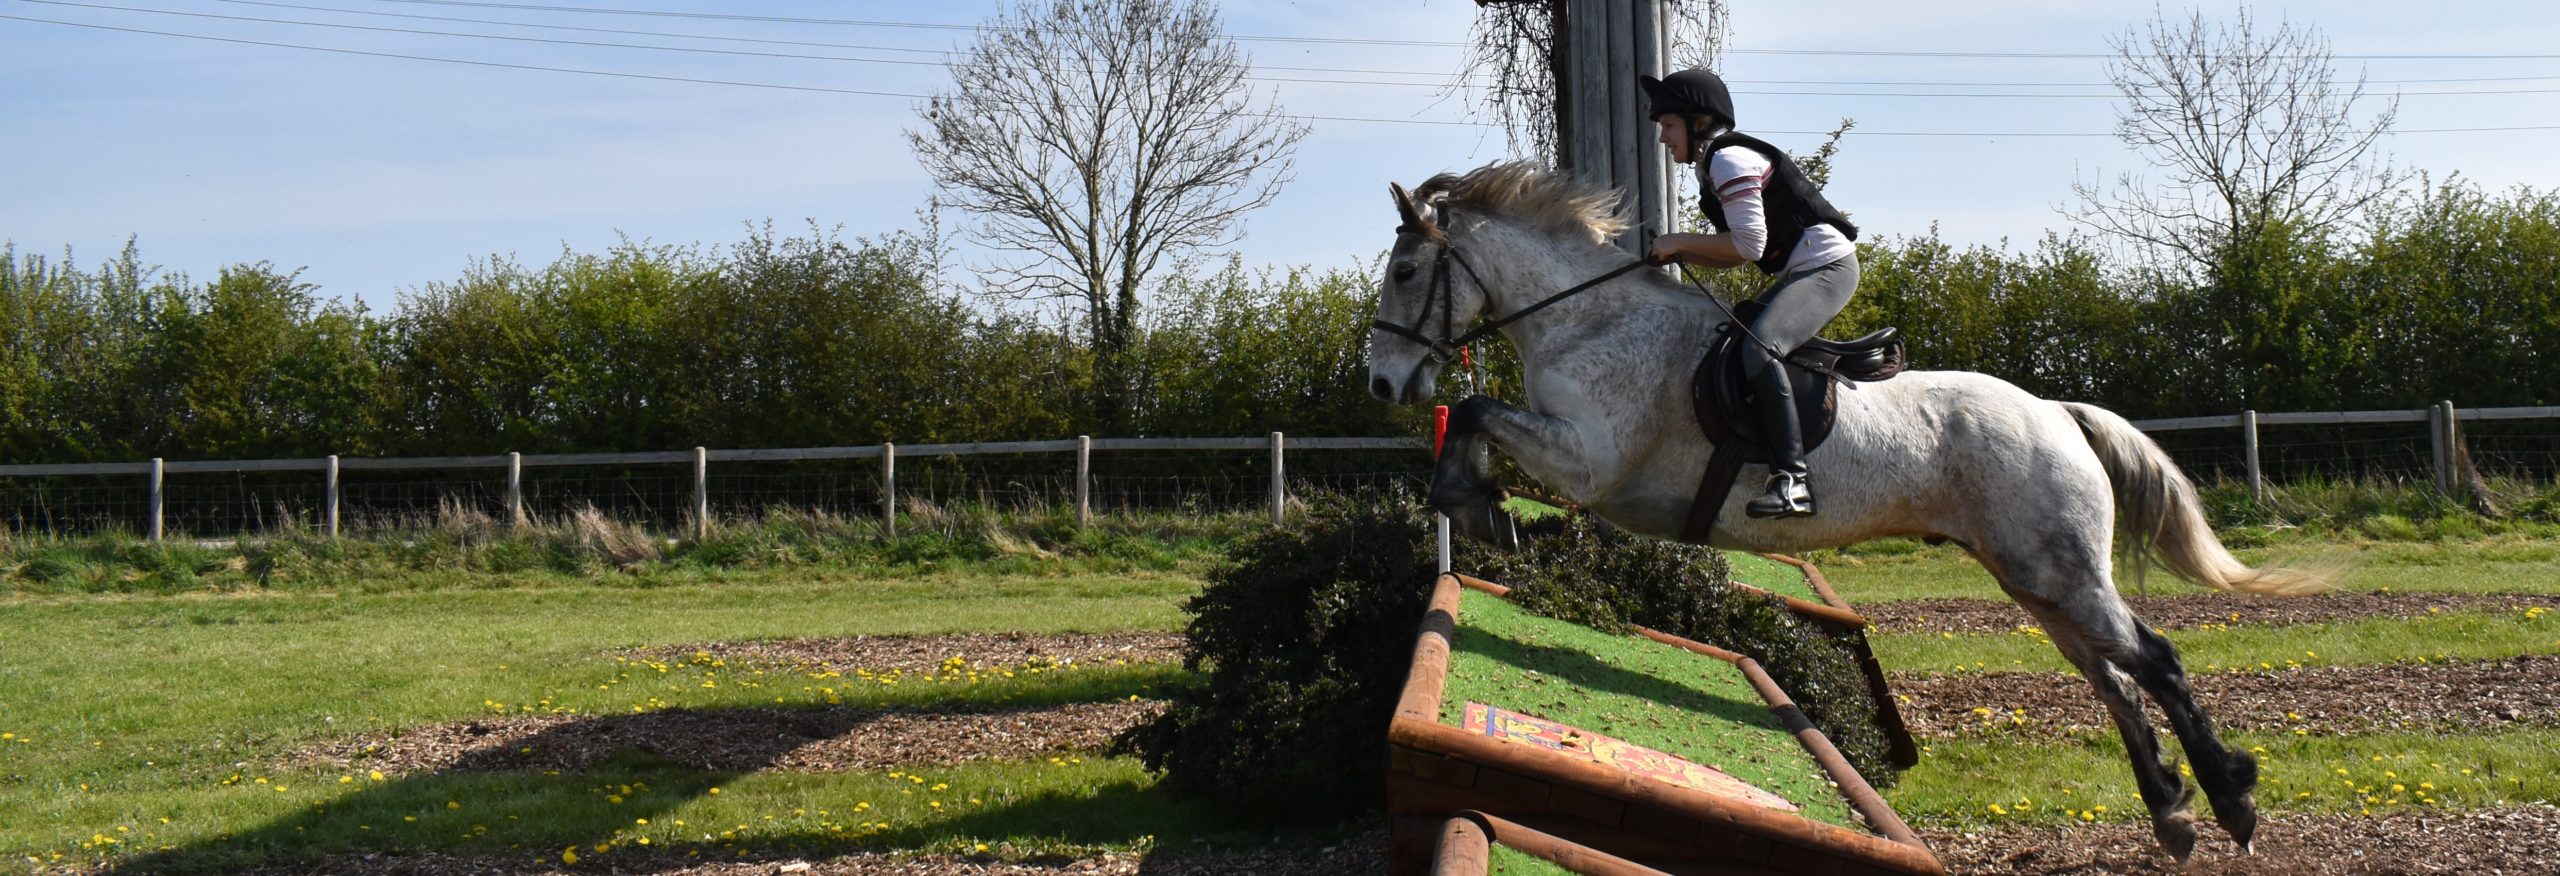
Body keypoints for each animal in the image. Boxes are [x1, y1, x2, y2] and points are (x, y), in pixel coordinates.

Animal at [1372, 162, 2334, 860]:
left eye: (1408, 271)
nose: (1383, 384)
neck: (1590, 318)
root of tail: (2057, 414)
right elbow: (1474, 417)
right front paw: (1476, 505)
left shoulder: (1591, 459)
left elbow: (1479, 413)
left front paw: (1480, 507)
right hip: (2034, 578)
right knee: (2113, 680)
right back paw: (2172, 816)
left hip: (2058, 571)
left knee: (2154, 661)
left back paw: (2233, 802)